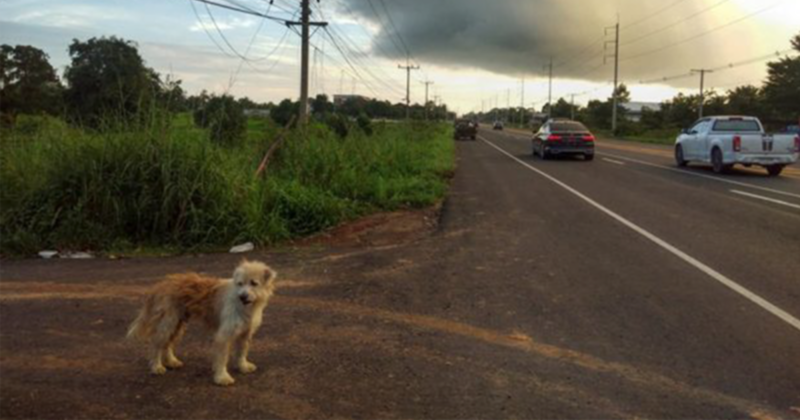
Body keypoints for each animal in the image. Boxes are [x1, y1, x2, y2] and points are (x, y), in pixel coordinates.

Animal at [127, 260, 278, 386]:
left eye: (254, 283)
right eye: (240, 283)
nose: (242, 296)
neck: (244, 306)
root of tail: (162, 284)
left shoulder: (245, 333)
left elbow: (242, 352)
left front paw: (243, 366)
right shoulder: (224, 336)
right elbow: (222, 358)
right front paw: (222, 377)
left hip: (177, 325)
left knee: (167, 344)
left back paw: (171, 361)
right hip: (168, 323)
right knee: (156, 344)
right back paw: (156, 366)